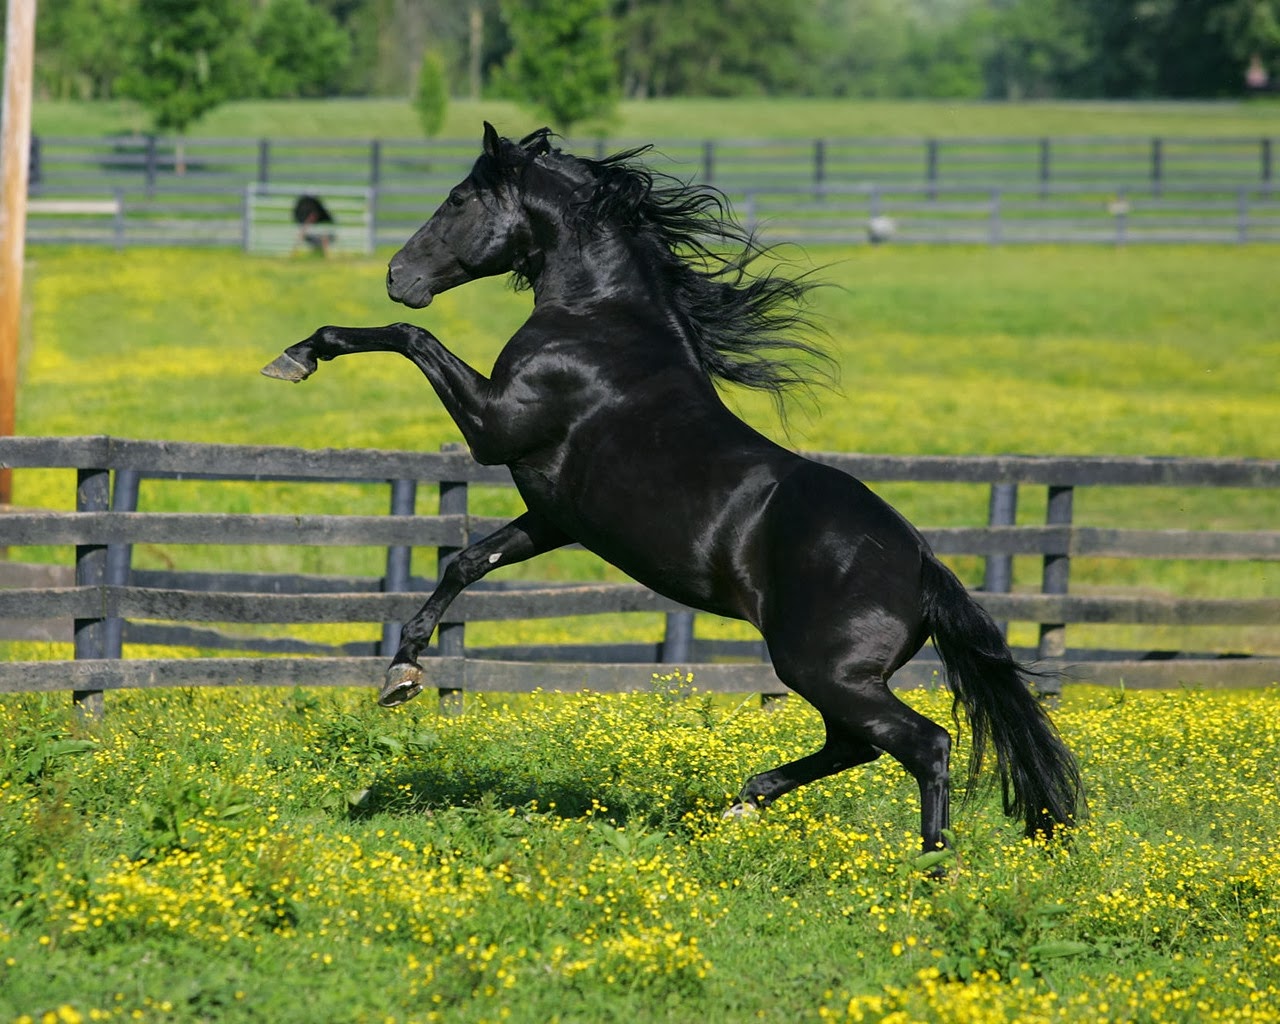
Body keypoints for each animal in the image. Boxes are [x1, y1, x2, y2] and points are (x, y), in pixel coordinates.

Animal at [262, 123, 1081, 855]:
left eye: (460, 198)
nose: (398, 276)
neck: (599, 324)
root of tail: (923, 566)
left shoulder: (494, 428)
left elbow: (410, 339)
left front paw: (298, 354)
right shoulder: (554, 516)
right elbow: (466, 562)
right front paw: (401, 671)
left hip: (825, 670)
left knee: (924, 744)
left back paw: (931, 871)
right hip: (834, 677)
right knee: (856, 746)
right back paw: (746, 802)